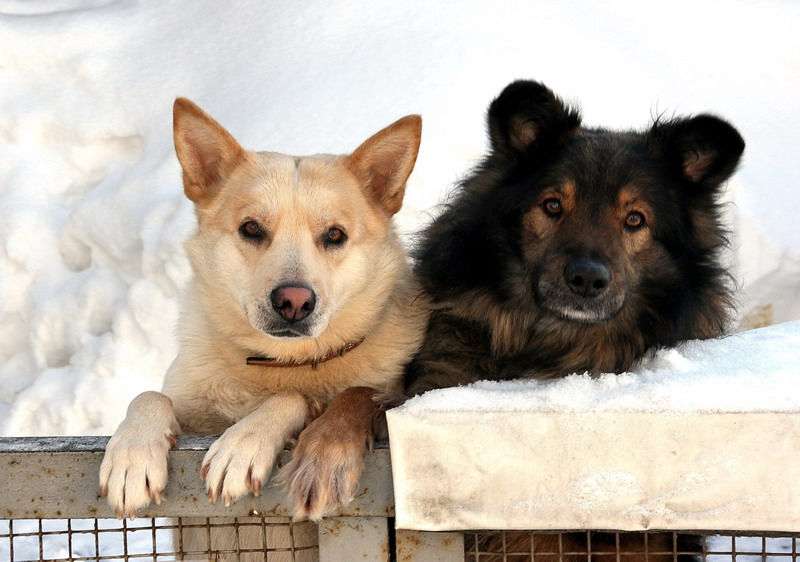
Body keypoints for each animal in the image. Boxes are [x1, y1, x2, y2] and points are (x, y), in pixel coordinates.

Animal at [99, 98, 428, 552]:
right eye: (251, 228)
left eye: (335, 235)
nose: (294, 302)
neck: (278, 363)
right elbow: (149, 395)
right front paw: (132, 453)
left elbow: (292, 397)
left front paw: (243, 443)